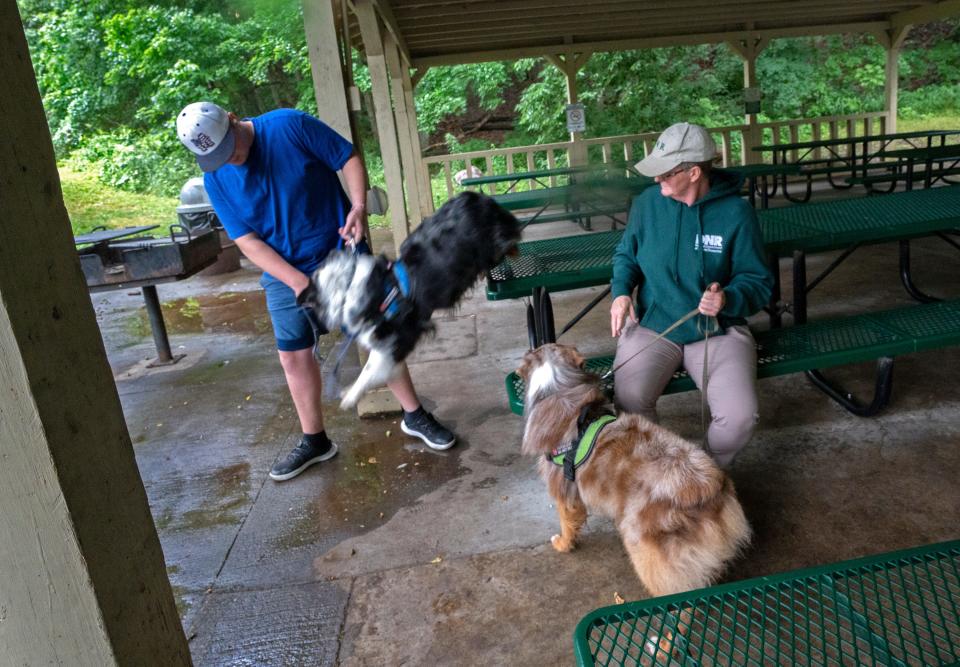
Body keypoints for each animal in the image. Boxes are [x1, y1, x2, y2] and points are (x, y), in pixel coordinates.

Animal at [302, 190, 520, 410]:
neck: (346, 288)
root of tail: (475, 197)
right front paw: (349, 392)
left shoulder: (400, 337)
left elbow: (370, 370)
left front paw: (350, 396)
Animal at [516, 344, 752, 596]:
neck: (557, 389)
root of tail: (710, 488)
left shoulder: (564, 488)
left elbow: (566, 520)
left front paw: (562, 543)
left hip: (643, 543)